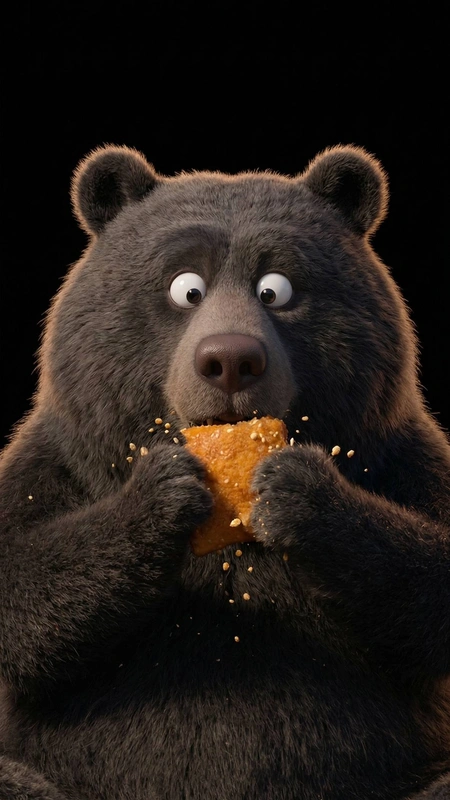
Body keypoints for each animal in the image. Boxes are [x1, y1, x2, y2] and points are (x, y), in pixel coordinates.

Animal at [0, 143, 449, 800]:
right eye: (186, 289)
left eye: (276, 289)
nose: (231, 360)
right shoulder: (54, 460)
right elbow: (20, 582)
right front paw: (166, 492)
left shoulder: (402, 457)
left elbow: (430, 571)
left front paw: (297, 491)